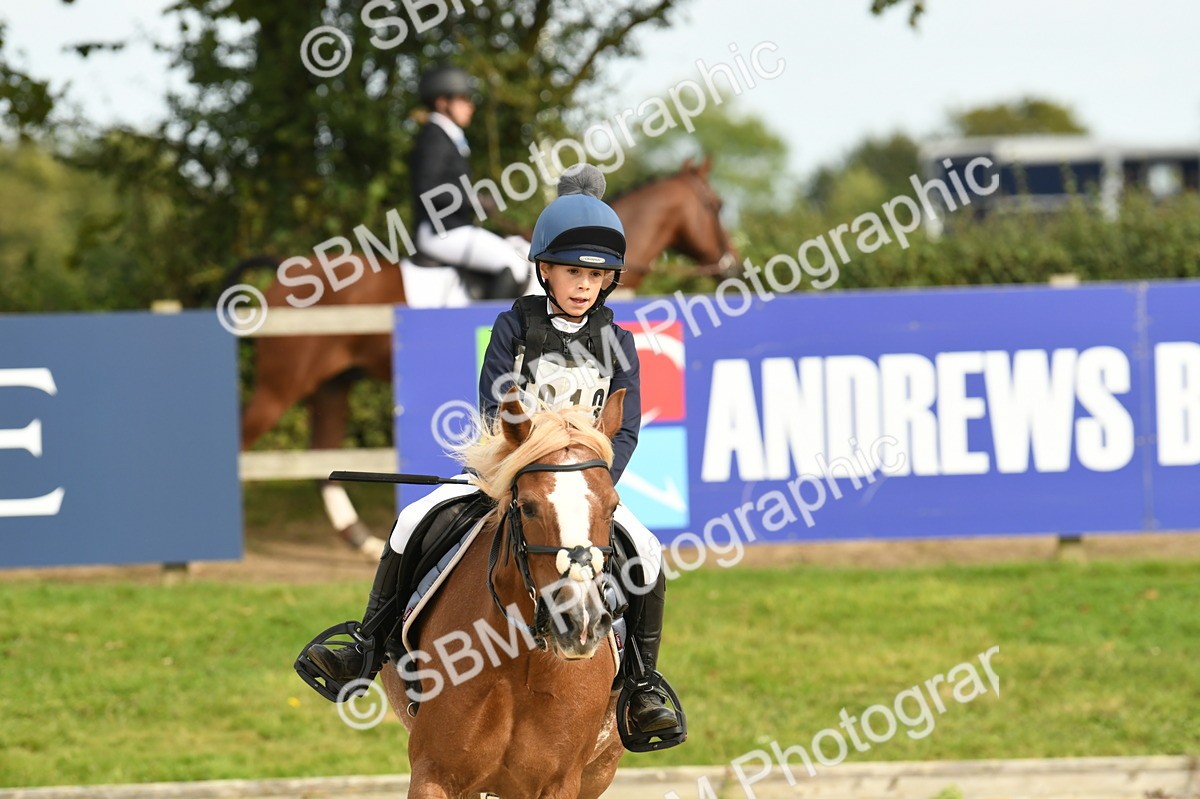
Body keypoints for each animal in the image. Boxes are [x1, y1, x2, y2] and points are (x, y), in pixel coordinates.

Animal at [379, 390, 628, 798]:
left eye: (613, 505)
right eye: (527, 507)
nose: (580, 623)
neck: (520, 658)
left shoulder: (561, 783)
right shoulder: (434, 774)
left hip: (599, 771)